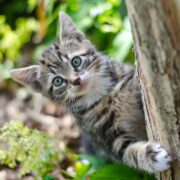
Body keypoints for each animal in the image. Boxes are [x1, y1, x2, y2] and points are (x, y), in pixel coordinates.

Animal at [10, 11, 172, 172]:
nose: (76, 80)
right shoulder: (104, 136)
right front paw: (151, 156)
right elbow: (126, 151)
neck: (104, 95)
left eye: (76, 61)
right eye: (58, 81)